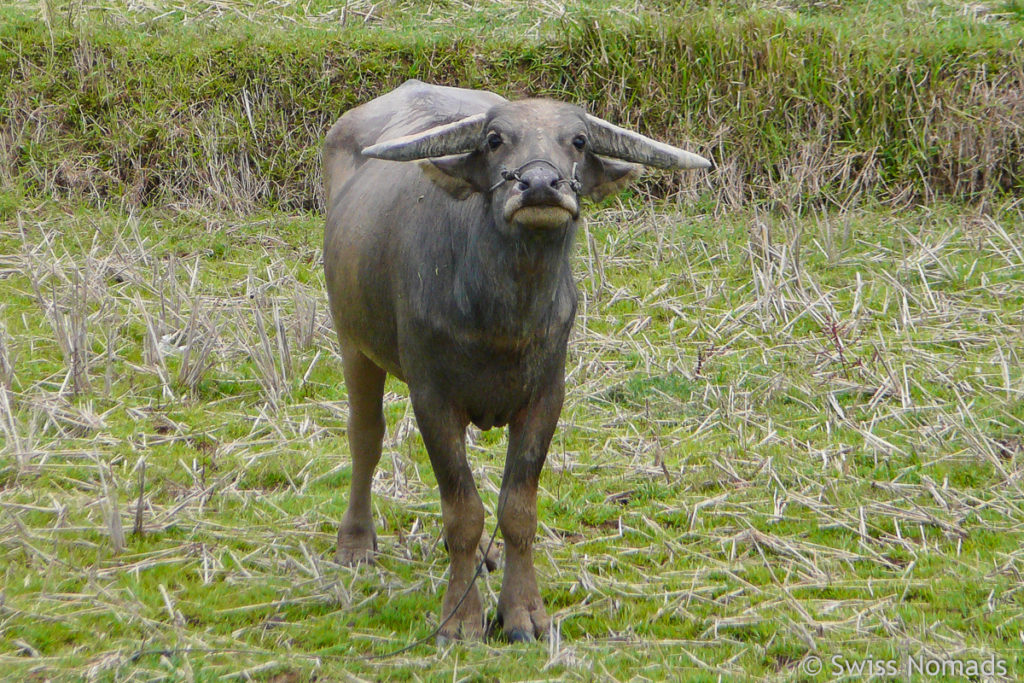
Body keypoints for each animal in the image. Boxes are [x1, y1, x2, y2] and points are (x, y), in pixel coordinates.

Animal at [323, 80, 708, 647]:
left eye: (578, 140)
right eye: (495, 139)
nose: (541, 185)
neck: (501, 315)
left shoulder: (546, 396)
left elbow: (516, 508)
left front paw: (524, 612)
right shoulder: (431, 397)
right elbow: (461, 510)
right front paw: (460, 618)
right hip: (352, 340)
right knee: (365, 437)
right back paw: (355, 541)